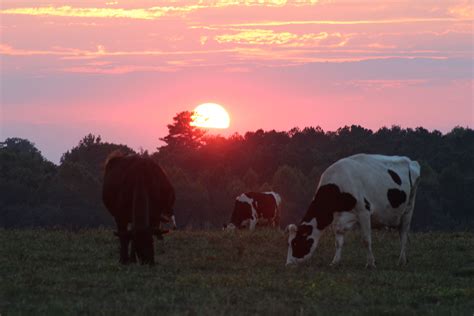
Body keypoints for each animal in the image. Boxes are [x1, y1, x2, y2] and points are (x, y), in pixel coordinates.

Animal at [286, 154, 420, 268]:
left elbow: (366, 240)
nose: (288, 264)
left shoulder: (364, 211)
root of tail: (410, 161)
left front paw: (370, 263)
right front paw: (335, 262)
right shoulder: (339, 218)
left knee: (403, 235)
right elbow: (338, 241)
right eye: (289, 242)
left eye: (296, 243)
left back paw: (401, 261)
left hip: (409, 209)